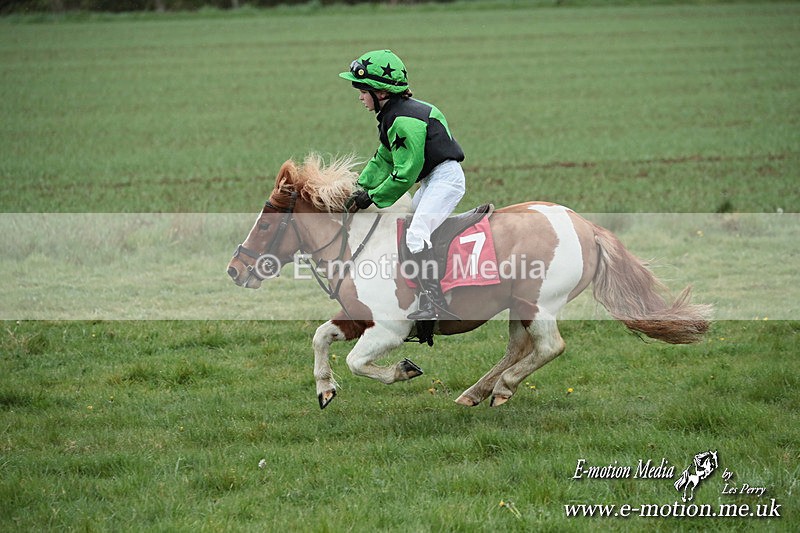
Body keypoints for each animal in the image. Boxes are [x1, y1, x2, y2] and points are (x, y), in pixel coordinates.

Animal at [227, 154, 712, 409]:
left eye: (266, 224)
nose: (235, 269)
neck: (358, 244)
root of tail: (586, 226)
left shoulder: (390, 329)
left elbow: (359, 363)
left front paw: (402, 370)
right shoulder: (359, 318)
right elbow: (321, 337)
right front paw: (325, 389)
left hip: (539, 302)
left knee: (549, 347)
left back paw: (502, 388)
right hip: (517, 305)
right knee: (519, 347)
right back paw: (477, 392)